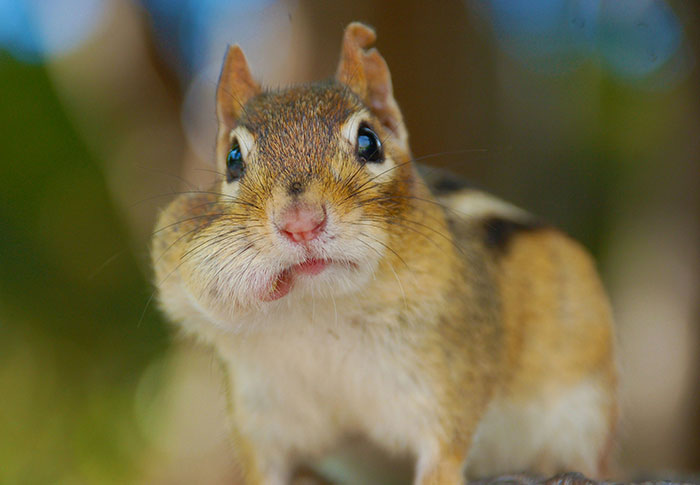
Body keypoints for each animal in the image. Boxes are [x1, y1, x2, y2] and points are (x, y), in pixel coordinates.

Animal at [152, 22, 617, 485]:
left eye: (369, 141)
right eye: (232, 158)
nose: (301, 222)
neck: (319, 315)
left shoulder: (446, 391)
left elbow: (442, 462)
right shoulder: (262, 426)